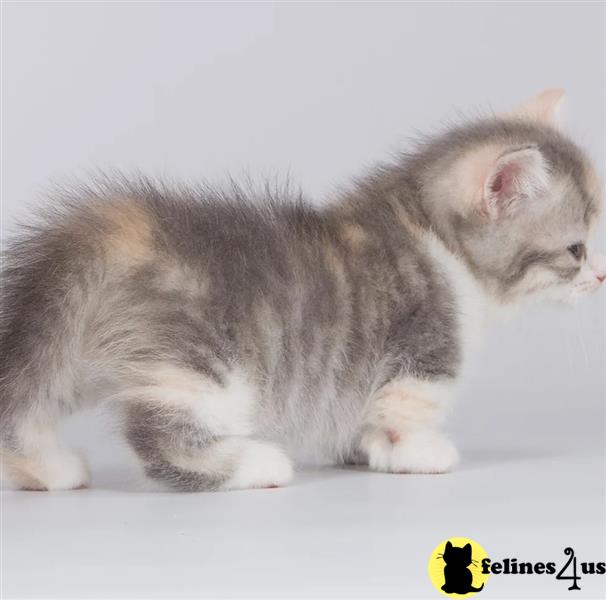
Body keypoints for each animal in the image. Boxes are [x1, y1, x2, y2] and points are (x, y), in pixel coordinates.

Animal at [0, 90, 604, 492]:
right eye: (577, 250)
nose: (601, 276)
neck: (434, 238)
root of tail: (117, 230)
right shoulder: (422, 352)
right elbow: (405, 410)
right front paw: (417, 453)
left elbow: (363, 413)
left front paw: (360, 450)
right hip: (200, 362)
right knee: (163, 436)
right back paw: (256, 464)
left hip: (72, 348)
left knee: (25, 401)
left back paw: (45, 469)